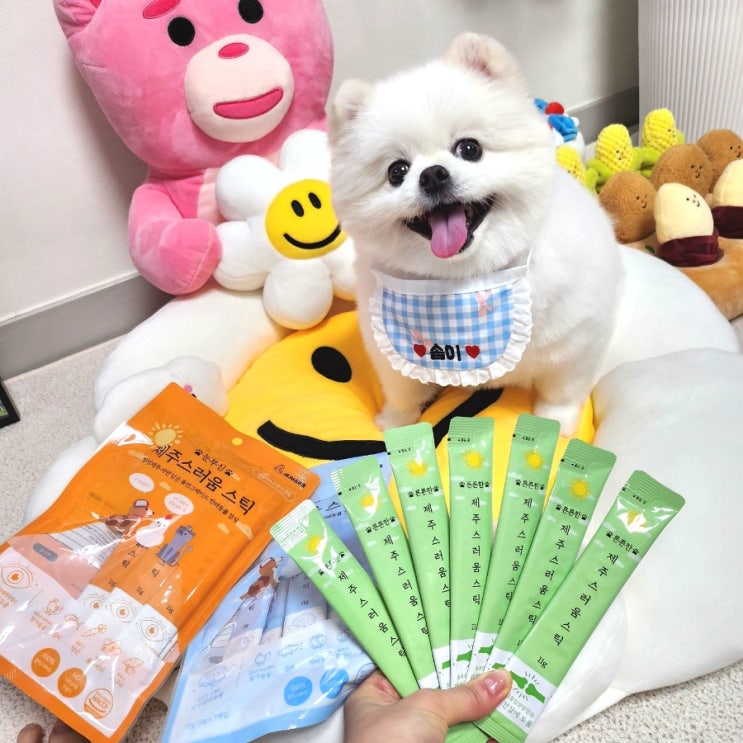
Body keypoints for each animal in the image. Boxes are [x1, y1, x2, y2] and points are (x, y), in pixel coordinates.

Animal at [328, 33, 623, 435]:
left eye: (469, 148)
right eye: (397, 171)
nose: (432, 175)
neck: (465, 278)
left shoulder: (574, 345)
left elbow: (561, 392)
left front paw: (555, 423)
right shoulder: (390, 357)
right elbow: (404, 393)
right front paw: (394, 423)